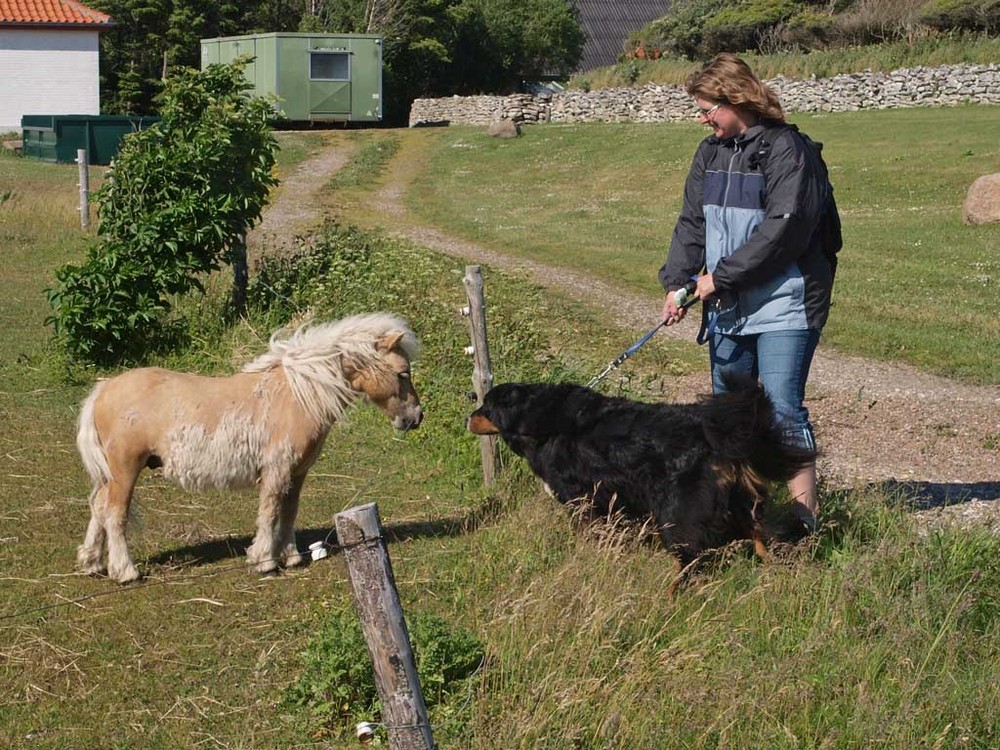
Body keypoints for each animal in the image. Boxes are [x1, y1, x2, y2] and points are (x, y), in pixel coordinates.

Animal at [76, 314, 422, 584]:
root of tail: (103, 389)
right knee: (114, 514)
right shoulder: (276, 470)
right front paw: (264, 561)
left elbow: (289, 511)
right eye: (403, 373)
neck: (297, 395)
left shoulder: (297, 472)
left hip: (108, 474)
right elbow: (269, 512)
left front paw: (291, 557)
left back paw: (92, 563)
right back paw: (125, 572)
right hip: (124, 470)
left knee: (98, 508)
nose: (416, 417)